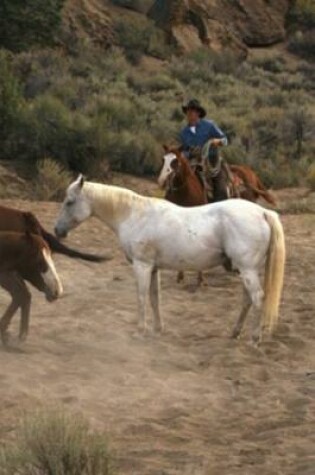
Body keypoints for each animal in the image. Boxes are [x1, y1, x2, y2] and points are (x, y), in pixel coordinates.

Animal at [54, 177, 286, 344]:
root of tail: (263, 212)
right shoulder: (153, 268)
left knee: (257, 298)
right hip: (245, 271)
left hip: (247, 270)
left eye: (70, 202)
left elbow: (141, 297)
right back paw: (235, 332)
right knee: (247, 300)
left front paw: (140, 331)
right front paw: (158, 329)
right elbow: (155, 298)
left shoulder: (142, 266)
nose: (57, 231)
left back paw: (254, 339)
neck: (133, 214)